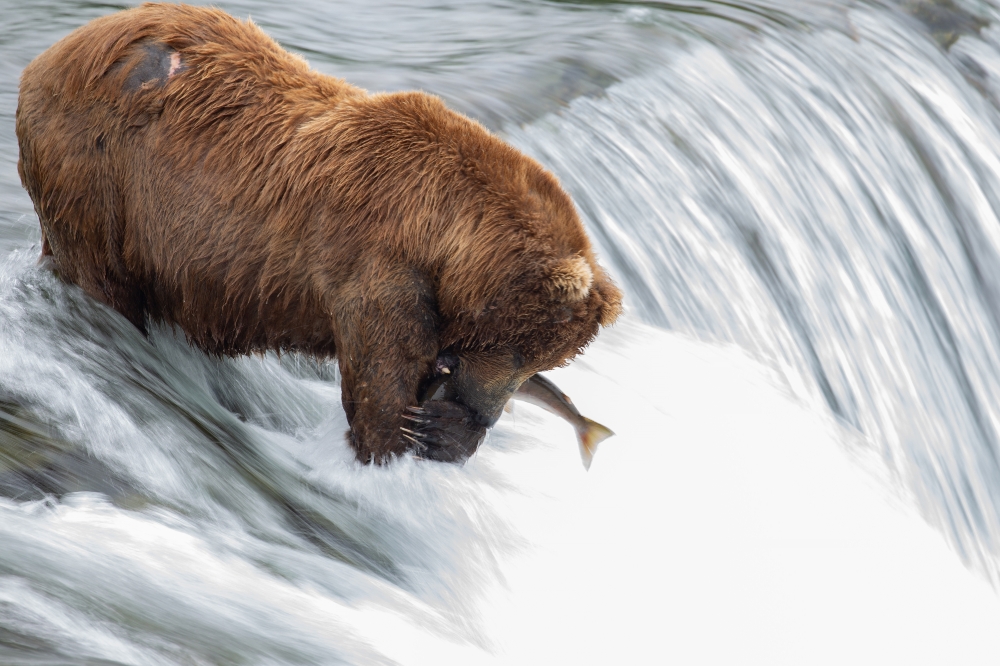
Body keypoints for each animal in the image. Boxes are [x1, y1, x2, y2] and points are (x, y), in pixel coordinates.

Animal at [15, 3, 620, 462]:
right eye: (519, 349)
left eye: (547, 360)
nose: (478, 415)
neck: (446, 236)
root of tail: (47, 56)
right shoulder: (376, 263)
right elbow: (381, 383)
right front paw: (410, 438)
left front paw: (440, 432)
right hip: (98, 175)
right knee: (102, 278)